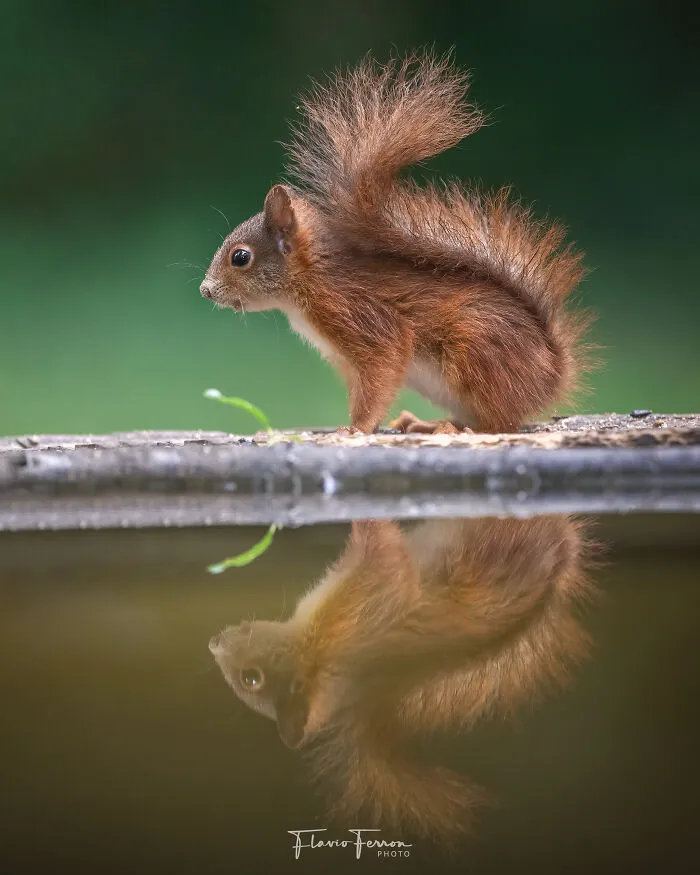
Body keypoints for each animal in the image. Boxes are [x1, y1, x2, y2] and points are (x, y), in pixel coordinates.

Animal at [200, 52, 591, 434]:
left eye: (240, 257)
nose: (206, 290)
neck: (312, 281)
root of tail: (552, 373)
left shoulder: (361, 317)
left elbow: (378, 378)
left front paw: (354, 430)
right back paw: (423, 422)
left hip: (477, 351)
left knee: (498, 423)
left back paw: (452, 429)